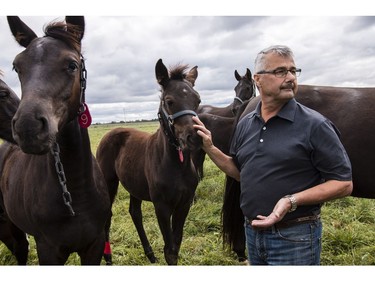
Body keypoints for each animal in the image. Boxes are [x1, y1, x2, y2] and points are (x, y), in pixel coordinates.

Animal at [0, 16, 111, 264]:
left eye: (72, 65)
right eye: (17, 66)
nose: (28, 127)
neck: (75, 196)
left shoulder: (95, 245)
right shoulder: (48, 249)